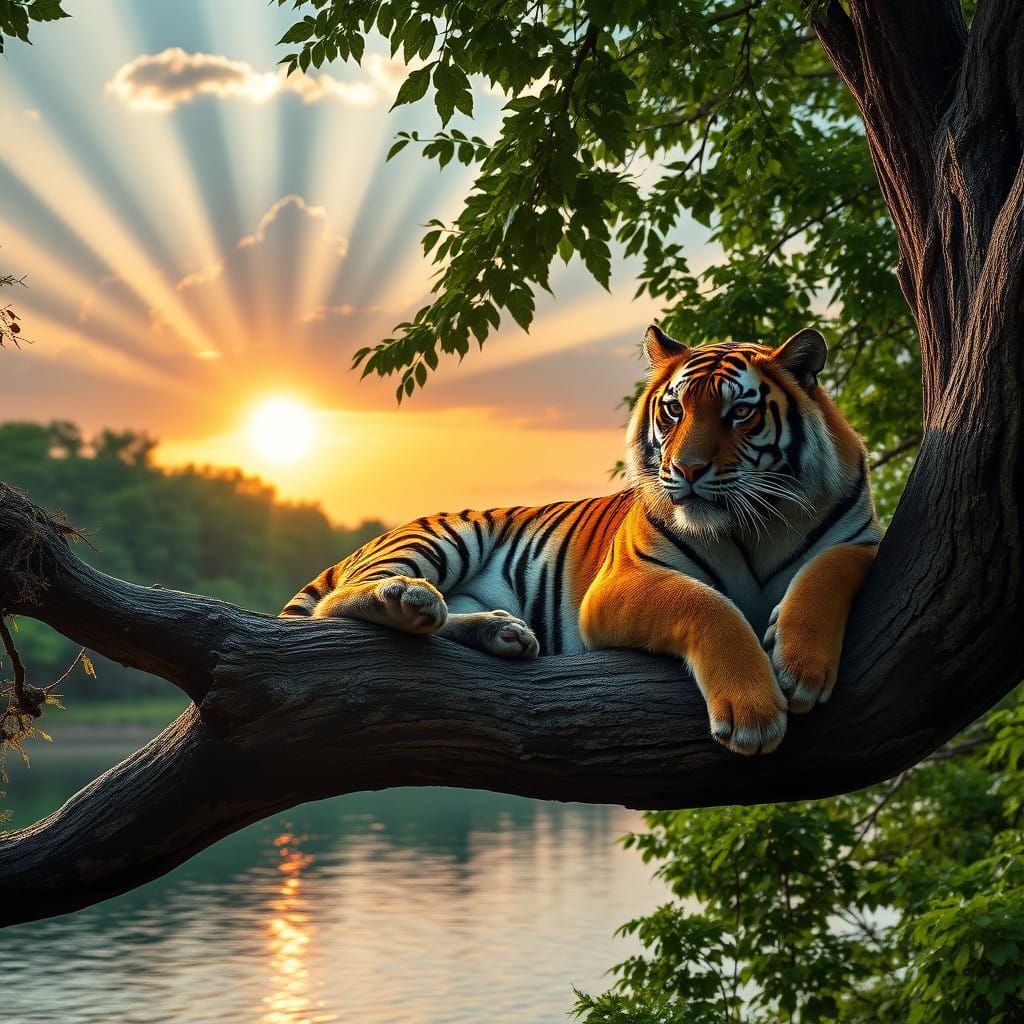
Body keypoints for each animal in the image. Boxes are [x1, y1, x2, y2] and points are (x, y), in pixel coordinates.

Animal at [281, 325, 881, 755]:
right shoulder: (624, 579)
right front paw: (752, 712)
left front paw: (800, 668)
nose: (685, 469)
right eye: (674, 410)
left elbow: (825, 573)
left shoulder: (861, 542)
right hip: (445, 536)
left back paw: (501, 633)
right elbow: (707, 604)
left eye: (740, 412)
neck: (756, 524)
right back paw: (409, 599)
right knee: (341, 602)